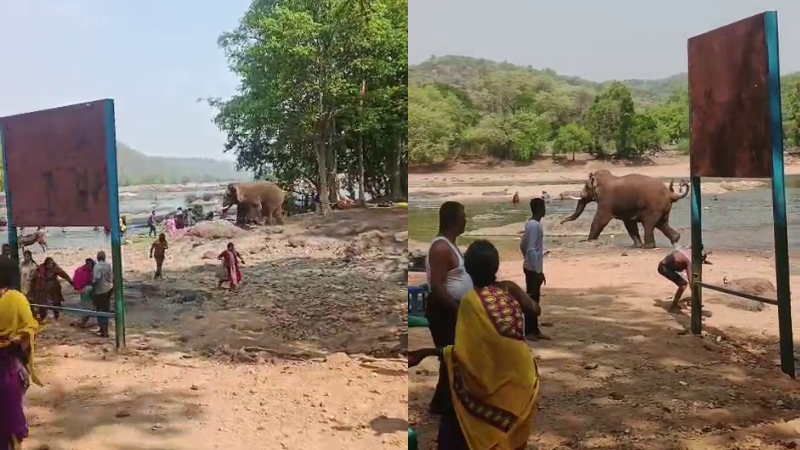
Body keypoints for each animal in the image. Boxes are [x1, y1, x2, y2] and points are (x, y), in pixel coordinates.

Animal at [560, 170, 689, 248]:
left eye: (586, 186)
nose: (561, 222)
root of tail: (670, 194)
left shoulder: (606, 200)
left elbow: (601, 219)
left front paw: (590, 240)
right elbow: (629, 223)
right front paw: (636, 246)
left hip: (653, 207)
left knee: (649, 223)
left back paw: (648, 246)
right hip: (662, 208)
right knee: (662, 223)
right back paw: (675, 239)